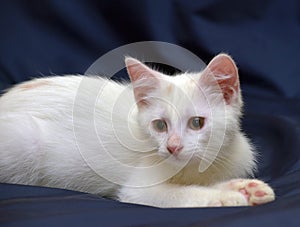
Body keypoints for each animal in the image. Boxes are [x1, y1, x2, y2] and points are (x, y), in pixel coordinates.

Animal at [0, 54, 274, 207]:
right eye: (160, 125)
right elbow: (180, 195)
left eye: (197, 123)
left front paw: (246, 188)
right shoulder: (141, 188)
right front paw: (227, 197)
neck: (194, 169)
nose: (173, 146)